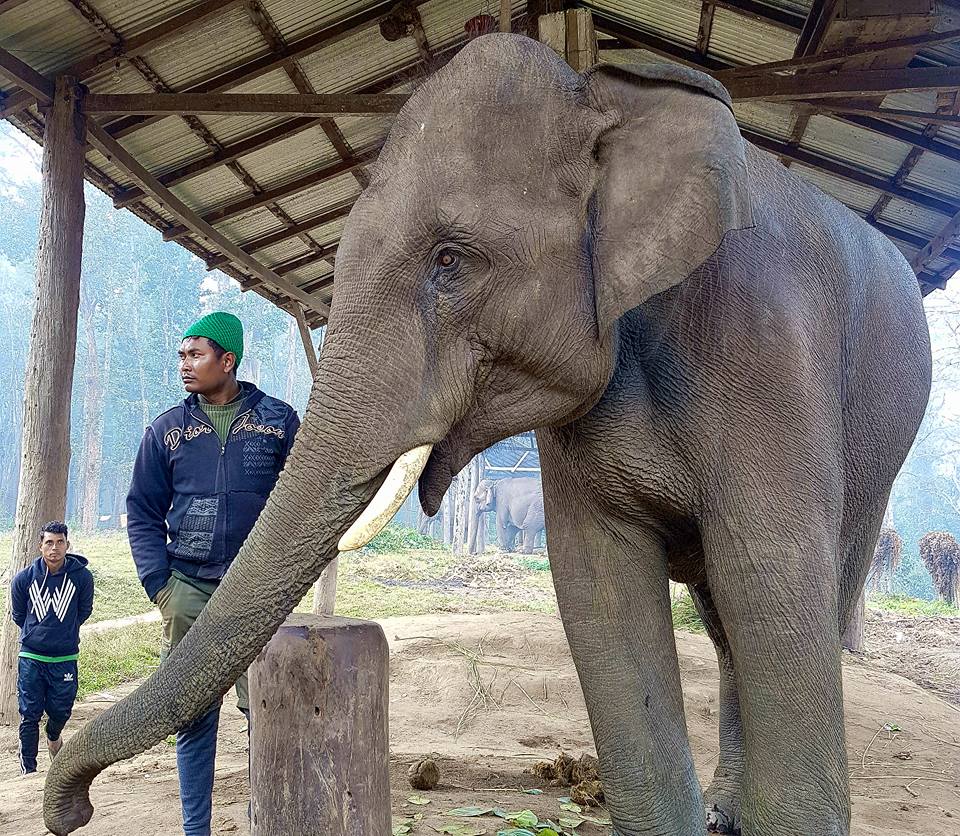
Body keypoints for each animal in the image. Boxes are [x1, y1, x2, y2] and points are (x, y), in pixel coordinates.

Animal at [44, 33, 931, 836]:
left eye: (450, 260)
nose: (72, 809)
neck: (606, 98)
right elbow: (601, 588)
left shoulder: (769, 350)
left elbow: (769, 573)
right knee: (722, 624)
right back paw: (723, 811)